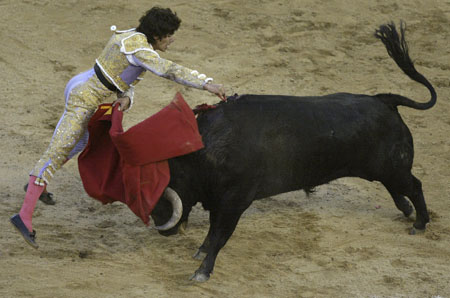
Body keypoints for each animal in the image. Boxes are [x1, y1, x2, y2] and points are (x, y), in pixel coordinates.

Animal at [149, 23, 438, 282]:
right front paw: (201, 252)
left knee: (414, 186)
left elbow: (220, 234)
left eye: (166, 192)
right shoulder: (219, 199)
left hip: (395, 167)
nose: (162, 228)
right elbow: (212, 232)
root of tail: (384, 99)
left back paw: (420, 223)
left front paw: (202, 271)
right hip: (384, 168)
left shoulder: (235, 201)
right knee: (396, 187)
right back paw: (407, 210)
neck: (212, 145)